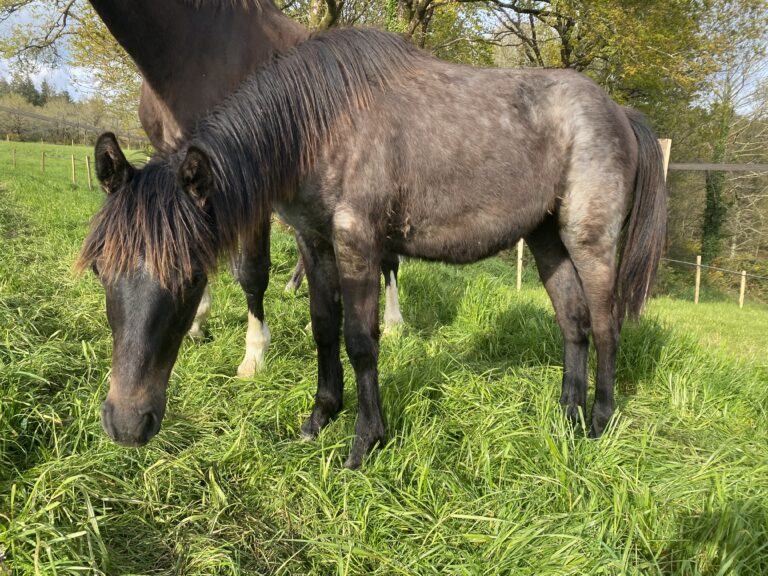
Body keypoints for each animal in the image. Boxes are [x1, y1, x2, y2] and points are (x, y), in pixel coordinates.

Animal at [79, 27, 664, 468]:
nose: (127, 424)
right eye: (101, 272)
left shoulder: (356, 241)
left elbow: (361, 340)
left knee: (606, 326)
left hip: (590, 243)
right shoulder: (315, 242)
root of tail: (619, 113)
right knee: (573, 323)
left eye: (192, 276)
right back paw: (567, 415)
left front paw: (365, 441)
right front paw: (320, 417)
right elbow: (323, 327)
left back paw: (599, 421)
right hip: (546, 241)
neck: (318, 122)